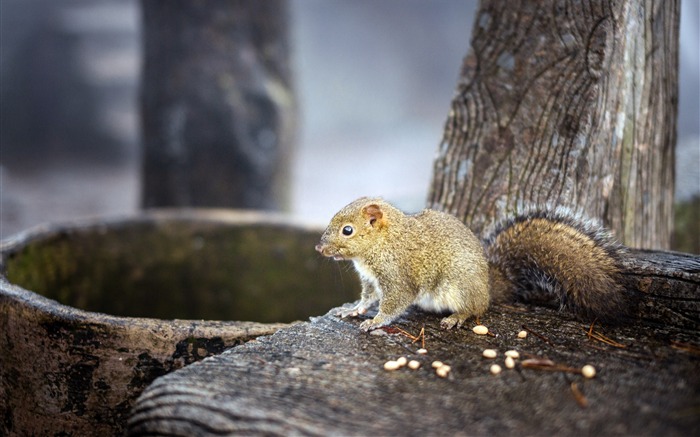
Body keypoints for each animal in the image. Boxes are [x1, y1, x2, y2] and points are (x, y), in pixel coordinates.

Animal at [314, 197, 628, 330]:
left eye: (347, 230)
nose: (319, 247)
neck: (380, 244)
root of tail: (488, 286)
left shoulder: (398, 278)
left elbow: (393, 304)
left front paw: (375, 322)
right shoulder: (371, 280)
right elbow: (368, 298)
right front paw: (354, 311)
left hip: (459, 287)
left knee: (477, 308)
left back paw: (457, 317)